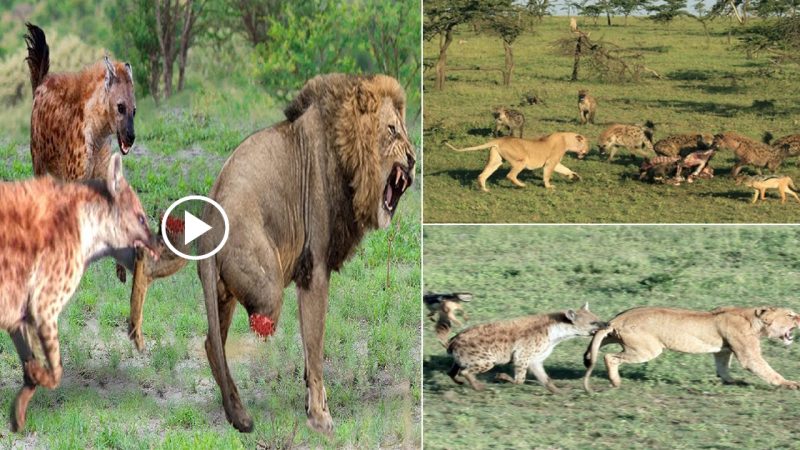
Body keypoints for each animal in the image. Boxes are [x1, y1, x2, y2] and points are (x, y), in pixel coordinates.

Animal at [196, 74, 416, 432]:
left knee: (211, 343)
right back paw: (241, 414)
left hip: (223, 291)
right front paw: (320, 417)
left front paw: (313, 403)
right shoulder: (314, 270)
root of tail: (210, 221)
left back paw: (237, 413)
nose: (412, 160)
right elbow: (315, 346)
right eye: (392, 129)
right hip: (268, 291)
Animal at [444, 133, 588, 191]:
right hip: (521, 160)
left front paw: (575, 176)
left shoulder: (555, 163)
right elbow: (547, 175)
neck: (566, 140)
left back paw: (484, 190)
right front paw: (548, 187)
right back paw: (522, 185)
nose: (587, 150)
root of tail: (499, 139)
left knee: (481, 175)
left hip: (496, 160)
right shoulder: (550, 162)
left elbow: (566, 169)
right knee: (510, 175)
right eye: (586, 143)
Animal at [580, 306, 800, 394]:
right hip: (648, 349)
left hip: (612, 336)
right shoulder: (749, 355)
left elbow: (723, 368)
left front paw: (732, 381)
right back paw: (616, 381)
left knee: (597, 345)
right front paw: (790, 384)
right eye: (790, 315)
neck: (754, 319)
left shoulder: (722, 351)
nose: (799, 318)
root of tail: (619, 319)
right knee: (610, 357)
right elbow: (768, 371)